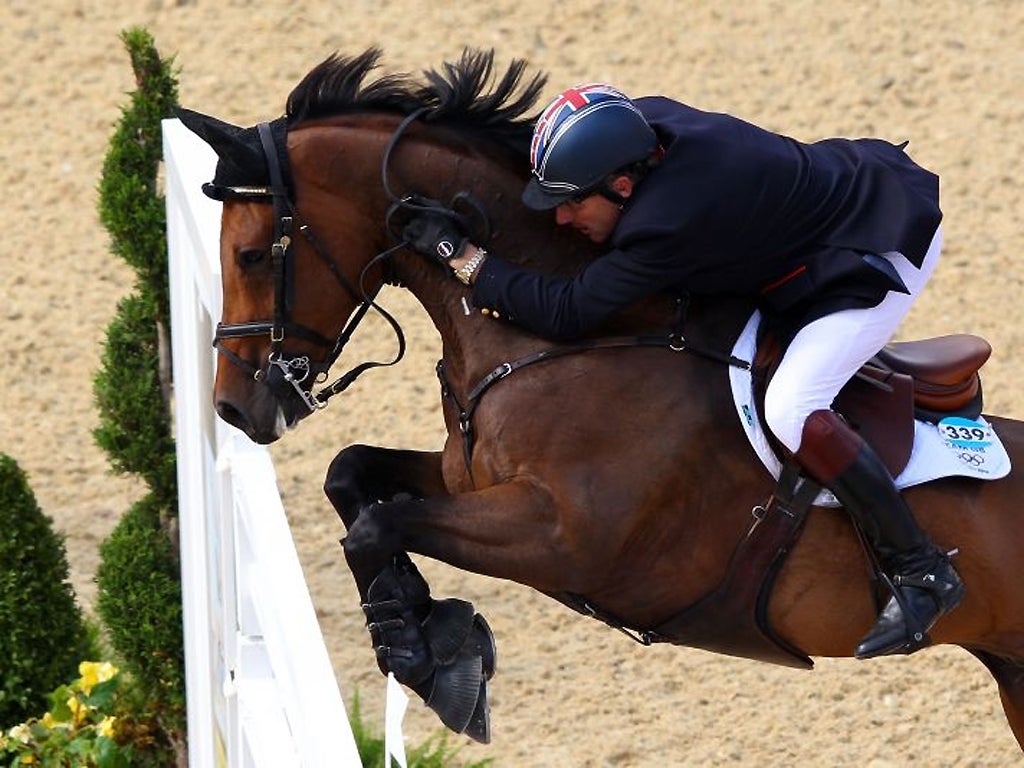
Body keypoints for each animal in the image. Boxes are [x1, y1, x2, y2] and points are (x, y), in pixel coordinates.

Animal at [180, 49, 1024, 753]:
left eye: (250, 254)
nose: (234, 409)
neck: (568, 338)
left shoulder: (565, 538)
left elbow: (377, 525)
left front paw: (428, 655)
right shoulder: (468, 482)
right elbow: (352, 476)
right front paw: (424, 636)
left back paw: (921, 594)